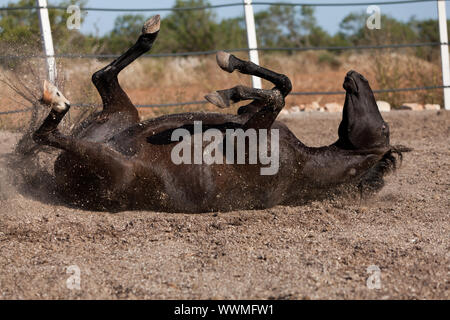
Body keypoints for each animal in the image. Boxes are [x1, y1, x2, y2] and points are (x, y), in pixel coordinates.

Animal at [33, 15, 410, 212]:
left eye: (385, 129)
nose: (355, 76)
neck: (304, 164)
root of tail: (61, 175)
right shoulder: (251, 117)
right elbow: (282, 86)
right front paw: (230, 74)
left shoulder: (253, 134)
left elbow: (278, 98)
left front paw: (227, 88)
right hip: (123, 114)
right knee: (102, 76)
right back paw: (149, 33)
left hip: (111, 163)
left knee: (48, 133)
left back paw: (57, 101)